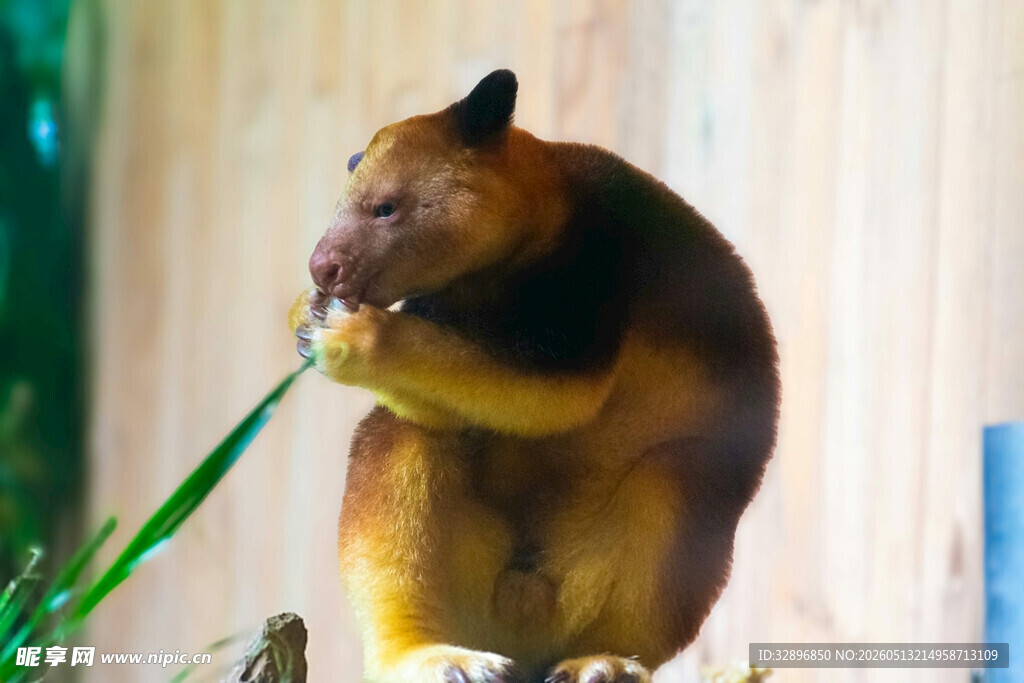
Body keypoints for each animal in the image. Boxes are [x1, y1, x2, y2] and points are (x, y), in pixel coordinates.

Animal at [290, 69, 779, 683]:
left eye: (386, 208)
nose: (322, 268)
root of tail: (524, 625)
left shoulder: (594, 265)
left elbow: (556, 393)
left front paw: (350, 335)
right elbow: (444, 398)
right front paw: (306, 316)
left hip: (645, 534)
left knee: (672, 499)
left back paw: (602, 660)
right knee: (399, 437)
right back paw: (432, 656)